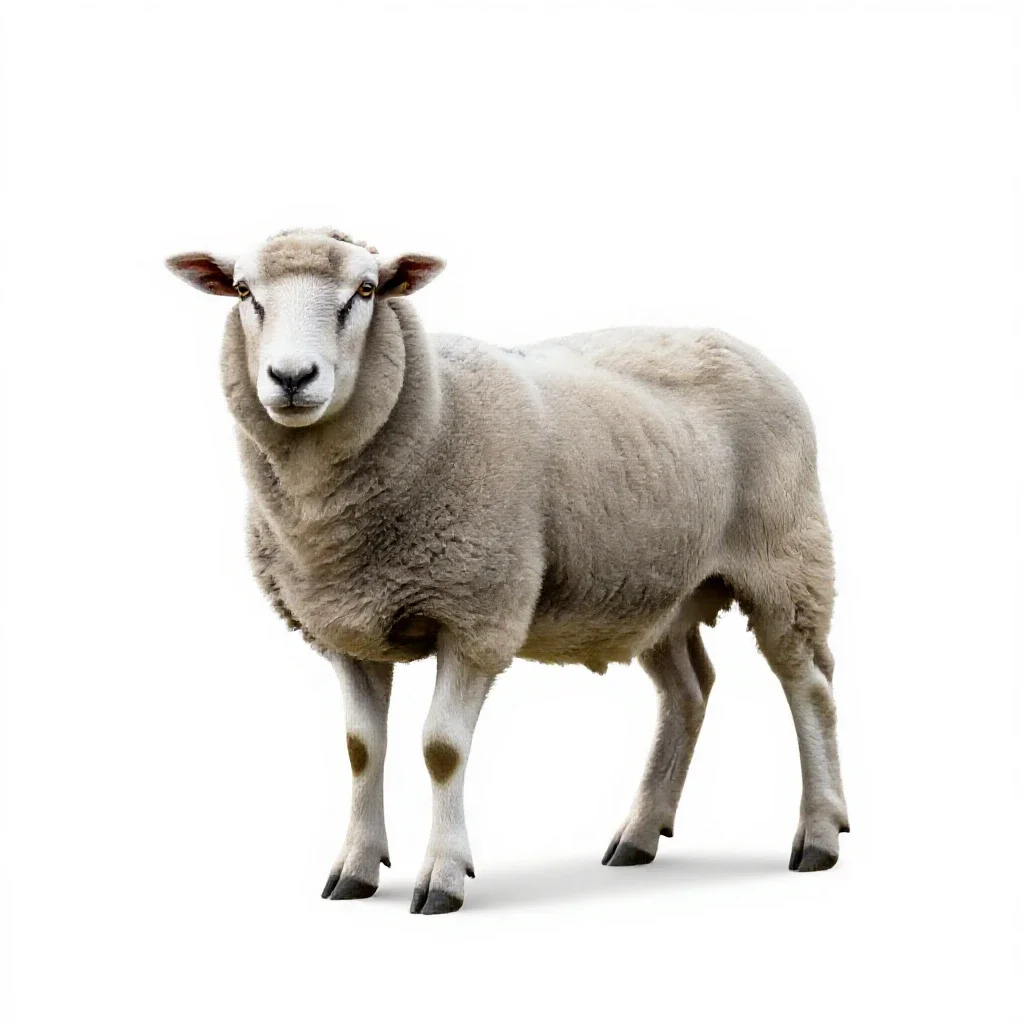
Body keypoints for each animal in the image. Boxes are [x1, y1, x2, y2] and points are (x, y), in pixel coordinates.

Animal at [166, 227, 849, 915]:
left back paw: (819, 834)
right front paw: (355, 870)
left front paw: (442, 877)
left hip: (787, 559)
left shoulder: (477, 614)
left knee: (809, 684)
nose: (291, 377)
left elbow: (441, 749)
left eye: (365, 291)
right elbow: (362, 750)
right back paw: (639, 833)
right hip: (656, 587)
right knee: (688, 690)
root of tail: (736, 342)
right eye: (245, 292)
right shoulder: (346, 629)